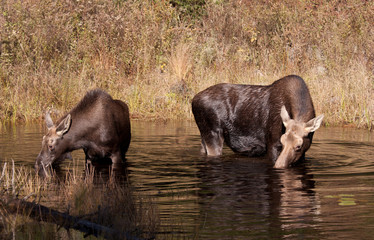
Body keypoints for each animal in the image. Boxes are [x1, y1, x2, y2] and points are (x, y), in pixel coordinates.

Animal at [191, 76, 322, 168]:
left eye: (299, 145)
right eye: (282, 141)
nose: (279, 166)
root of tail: (193, 101)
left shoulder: (302, 153)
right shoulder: (272, 144)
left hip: (203, 136)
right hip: (213, 134)